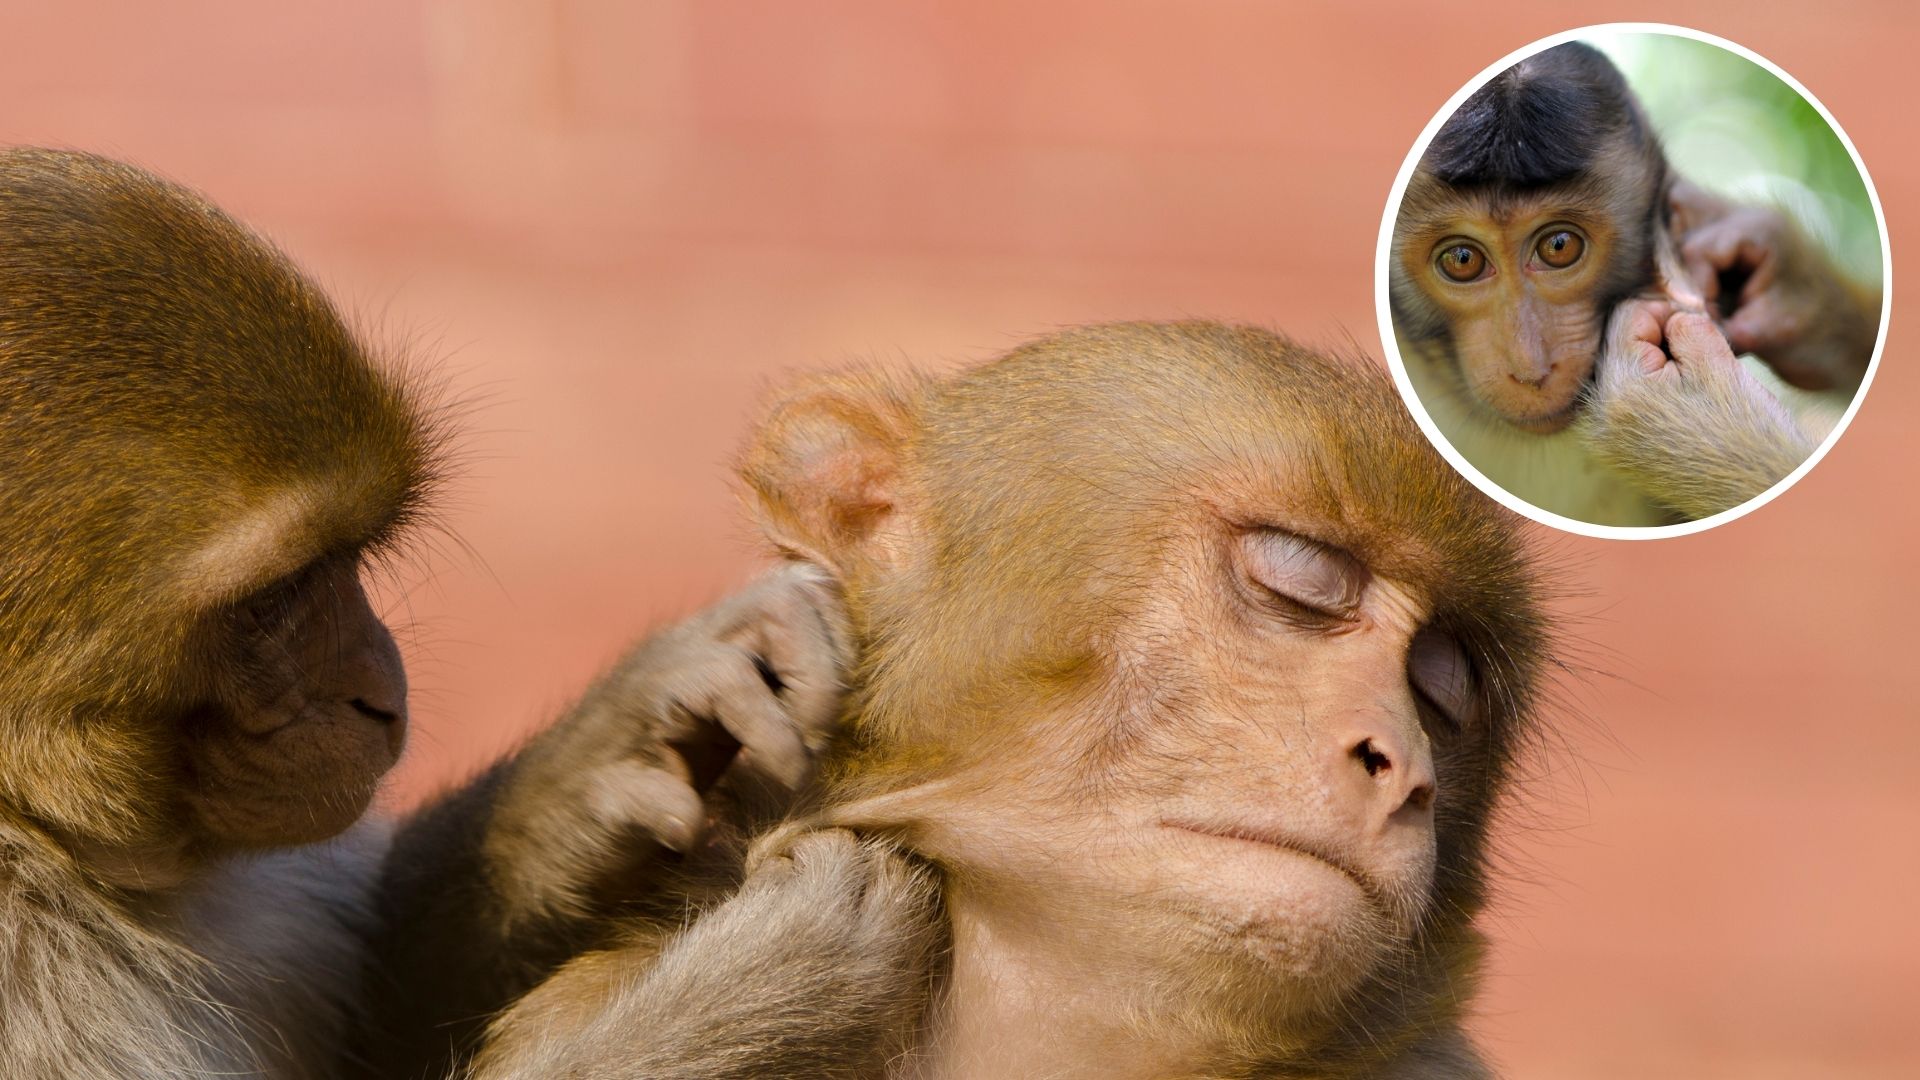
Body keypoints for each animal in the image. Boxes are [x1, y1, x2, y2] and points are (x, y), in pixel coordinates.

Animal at [0, 147, 852, 1079]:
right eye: (273, 600)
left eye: (342, 565)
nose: (380, 692)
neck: (43, 835)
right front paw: (789, 975)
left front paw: (624, 739)